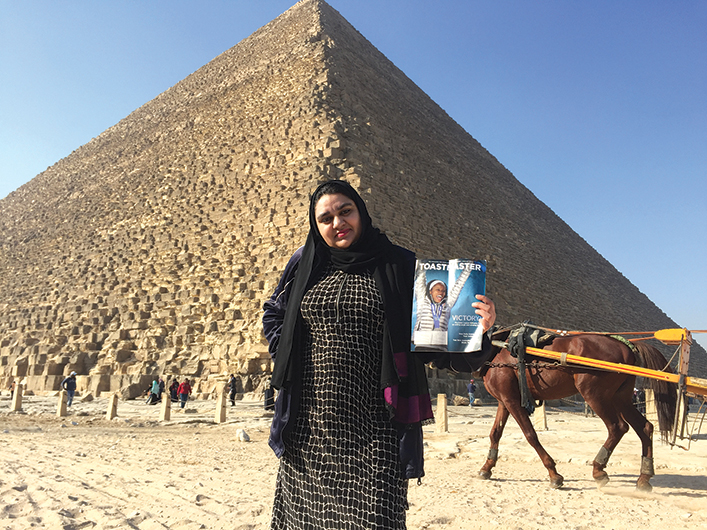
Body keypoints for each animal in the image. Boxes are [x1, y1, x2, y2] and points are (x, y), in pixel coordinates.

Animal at [478, 328, 676, 488]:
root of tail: (626, 346)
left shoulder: (511, 400)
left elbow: (530, 435)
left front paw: (554, 474)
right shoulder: (504, 400)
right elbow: (495, 433)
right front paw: (486, 467)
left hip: (594, 394)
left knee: (617, 427)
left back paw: (599, 470)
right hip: (621, 397)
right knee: (645, 427)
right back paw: (644, 477)